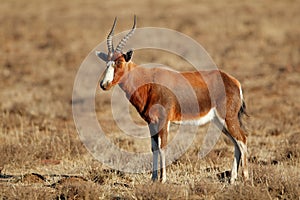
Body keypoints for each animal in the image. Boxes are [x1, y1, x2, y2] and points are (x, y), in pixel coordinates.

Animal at [96, 16, 248, 184]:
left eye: (120, 62)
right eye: (107, 62)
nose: (104, 84)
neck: (149, 82)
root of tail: (234, 81)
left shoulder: (163, 121)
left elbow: (163, 147)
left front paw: (162, 179)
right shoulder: (151, 123)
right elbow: (154, 148)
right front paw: (153, 178)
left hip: (227, 118)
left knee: (242, 139)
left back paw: (246, 178)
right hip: (220, 121)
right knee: (236, 143)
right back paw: (232, 178)